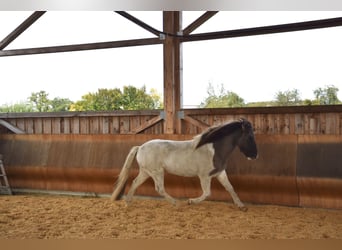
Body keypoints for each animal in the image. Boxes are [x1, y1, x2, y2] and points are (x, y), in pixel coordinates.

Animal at [111, 118, 258, 210]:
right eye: (250, 136)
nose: (255, 155)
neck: (214, 149)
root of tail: (140, 147)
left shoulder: (220, 173)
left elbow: (230, 188)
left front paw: (242, 206)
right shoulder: (204, 176)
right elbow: (207, 193)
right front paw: (190, 201)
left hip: (146, 172)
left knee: (135, 182)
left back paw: (128, 203)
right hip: (157, 172)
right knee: (159, 189)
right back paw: (177, 204)